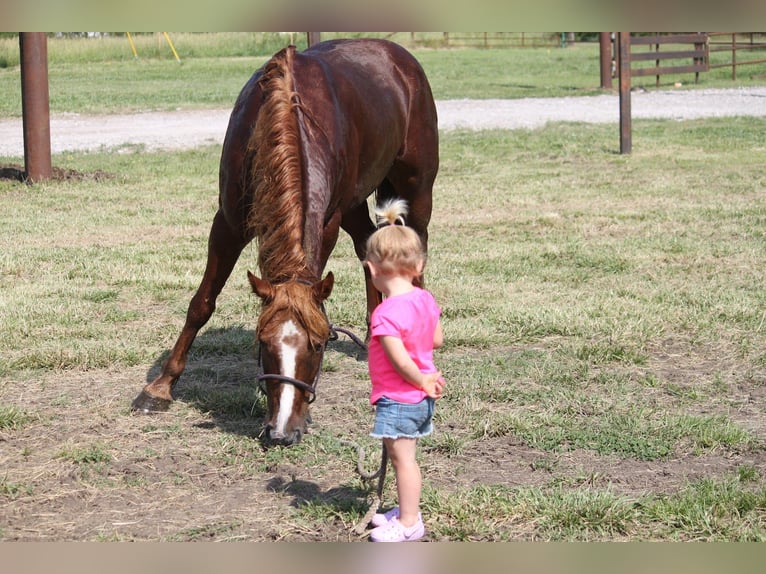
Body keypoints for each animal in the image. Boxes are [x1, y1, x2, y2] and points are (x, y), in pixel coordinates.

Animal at [130, 39, 438, 450]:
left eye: (320, 344)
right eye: (262, 342)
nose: (283, 431)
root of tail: (398, 56)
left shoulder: (326, 223)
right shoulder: (227, 223)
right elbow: (202, 303)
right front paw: (160, 387)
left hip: (416, 189)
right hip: (355, 202)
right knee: (366, 247)